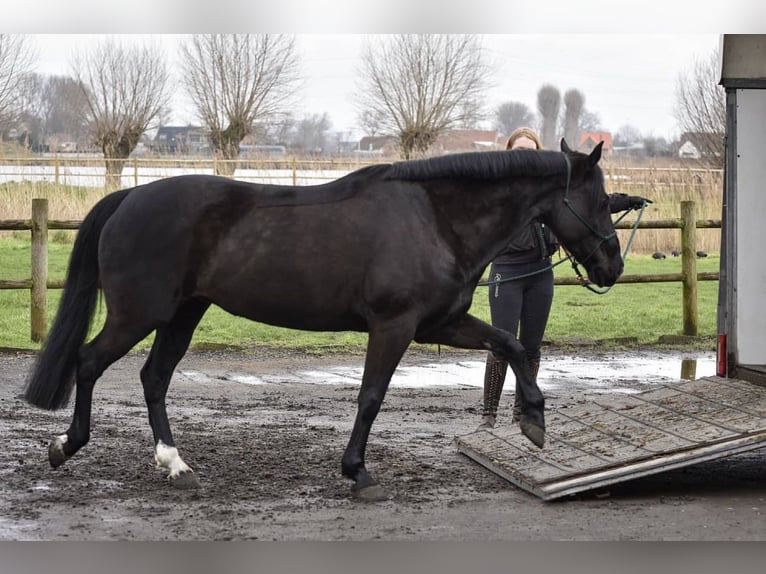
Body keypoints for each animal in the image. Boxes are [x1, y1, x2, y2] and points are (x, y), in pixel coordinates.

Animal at [24, 138, 624, 500]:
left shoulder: (440, 324)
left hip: (183, 314)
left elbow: (511, 344)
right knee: (89, 362)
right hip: (139, 314)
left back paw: (175, 464)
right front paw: (357, 472)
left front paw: (535, 422)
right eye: (600, 202)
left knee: (153, 378)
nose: (612, 266)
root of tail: (128, 197)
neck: (433, 217)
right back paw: (65, 446)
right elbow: (371, 396)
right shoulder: (394, 326)